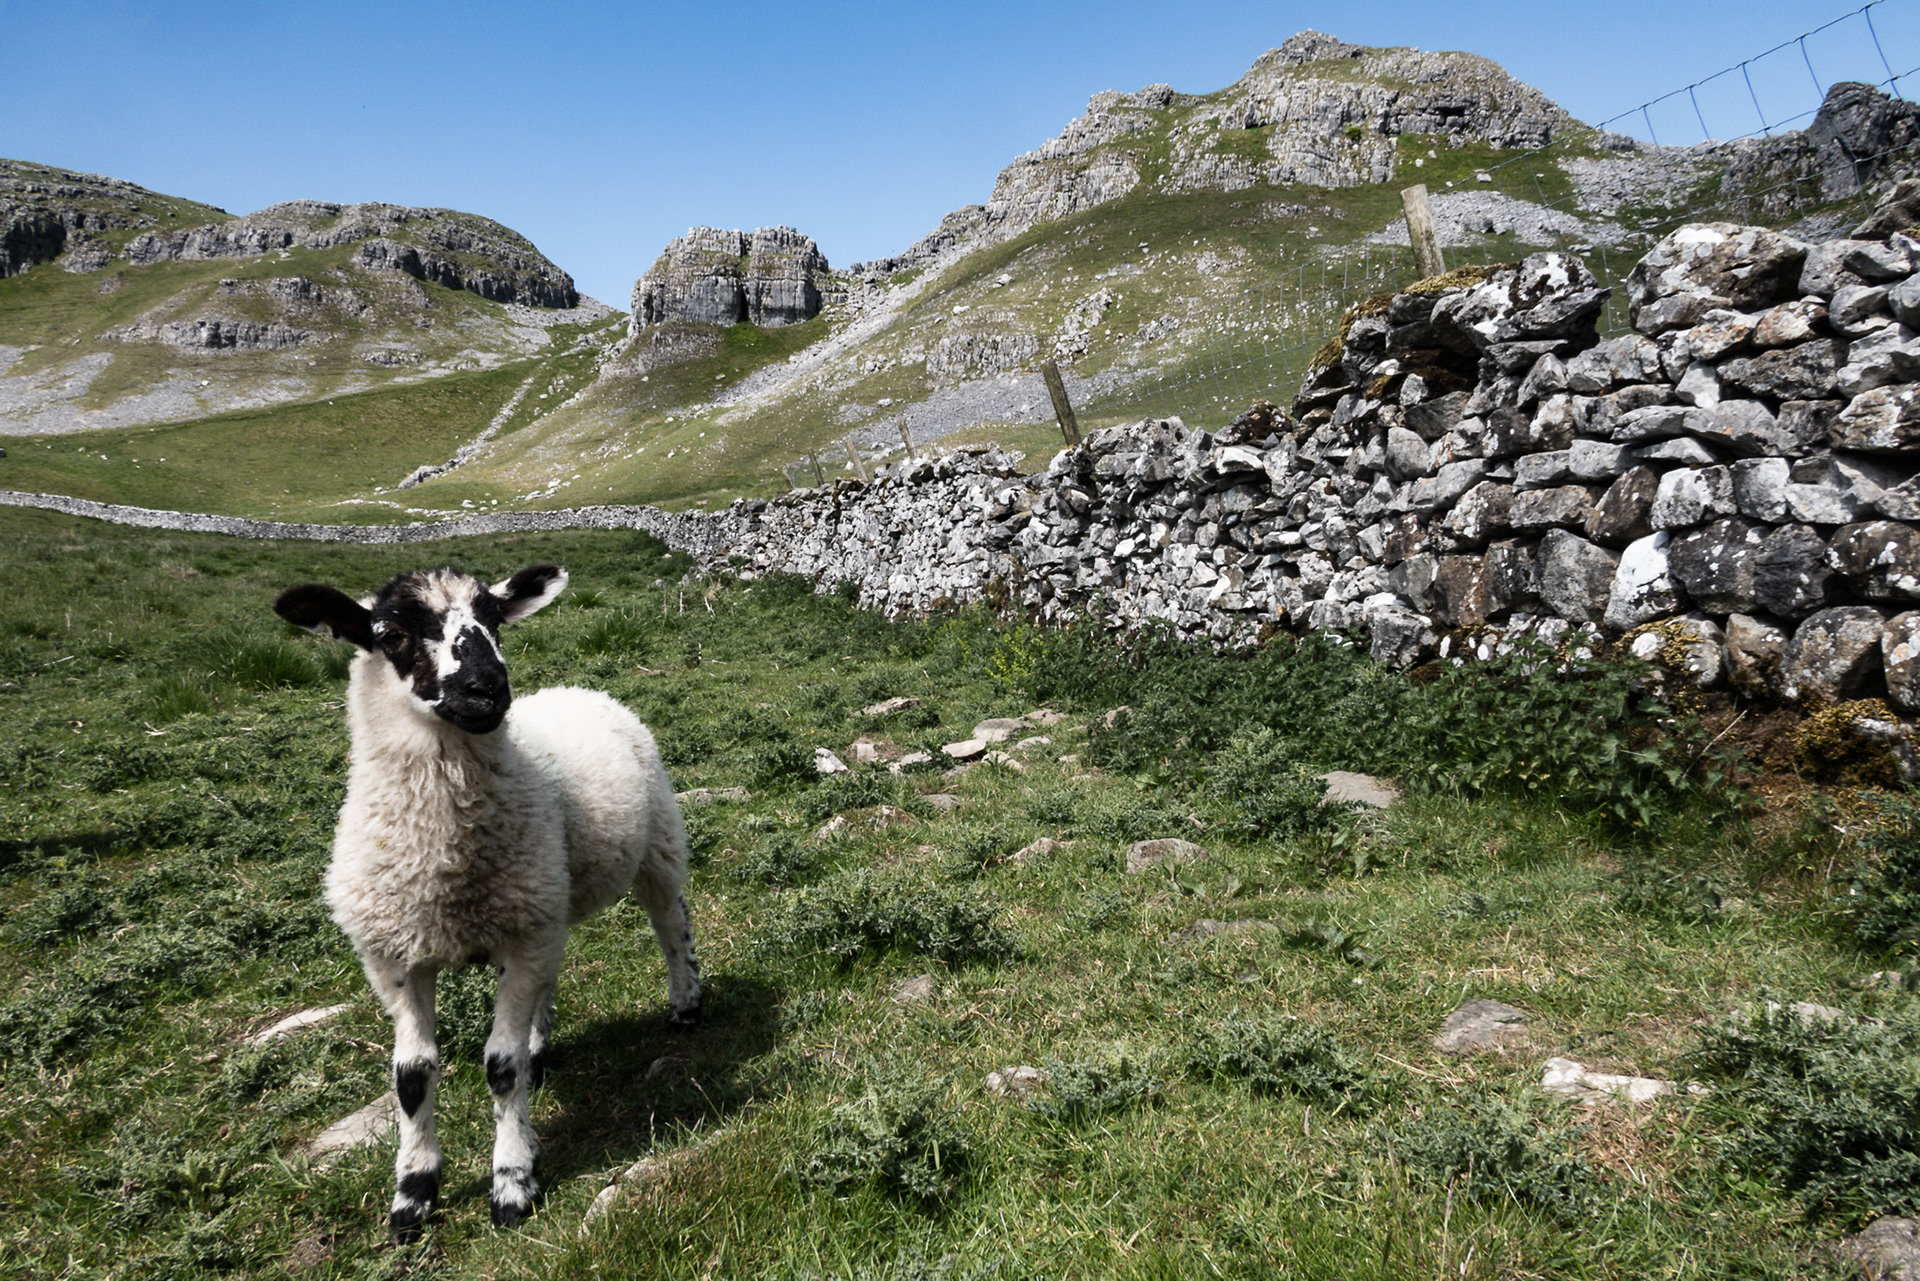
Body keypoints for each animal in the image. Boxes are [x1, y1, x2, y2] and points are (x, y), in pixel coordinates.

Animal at [273, 563, 700, 1241]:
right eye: (389, 633)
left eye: (495, 620)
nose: (487, 689)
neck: (445, 858)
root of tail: (577, 689)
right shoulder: (397, 958)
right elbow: (412, 1077)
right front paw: (413, 1193)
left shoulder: (520, 937)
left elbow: (499, 1066)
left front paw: (512, 1183)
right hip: (547, 898)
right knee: (551, 976)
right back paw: (541, 1046)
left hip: (653, 845)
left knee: (669, 923)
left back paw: (685, 1002)